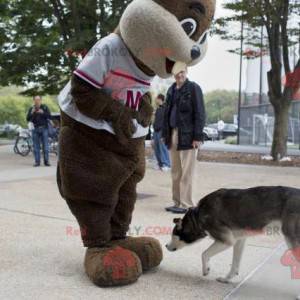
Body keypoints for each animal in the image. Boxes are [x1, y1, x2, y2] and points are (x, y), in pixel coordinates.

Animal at [166, 186, 300, 284]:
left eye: (173, 235)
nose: (166, 246)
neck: (197, 216)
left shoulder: (227, 241)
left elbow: (204, 254)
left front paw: (206, 270)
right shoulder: (239, 240)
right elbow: (235, 264)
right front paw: (227, 279)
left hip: (291, 240)